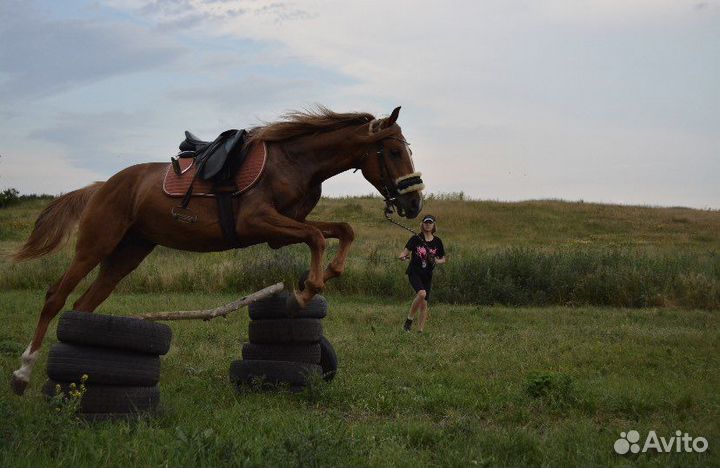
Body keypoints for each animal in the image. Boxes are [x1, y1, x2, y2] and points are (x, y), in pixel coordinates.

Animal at [10, 106, 424, 395]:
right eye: (392, 151)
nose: (414, 203)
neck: (294, 162)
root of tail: (101, 185)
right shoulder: (259, 221)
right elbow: (318, 238)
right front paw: (306, 291)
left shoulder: (282, 228)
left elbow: (341, 231)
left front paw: (324, 276)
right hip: (96, 244)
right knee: (55, 297)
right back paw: (23, 372)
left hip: (128, 253)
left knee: (83, 305)